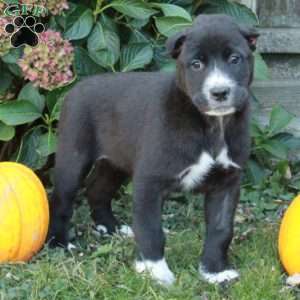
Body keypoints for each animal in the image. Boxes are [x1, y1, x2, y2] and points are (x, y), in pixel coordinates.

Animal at [48, 14, 258, 286]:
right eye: (196, 64)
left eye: (235, 59)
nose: (219, 92)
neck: (211, 125)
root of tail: (77, 87)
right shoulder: (150, 182)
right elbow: (150, 229)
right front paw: (155, 271)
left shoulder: (227, 182)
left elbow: (221, 230)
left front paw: (215, 271)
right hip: (73, 156)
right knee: (62, 198)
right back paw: (59, 243)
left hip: (115, 162)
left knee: (97, 189)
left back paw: (112, 228)